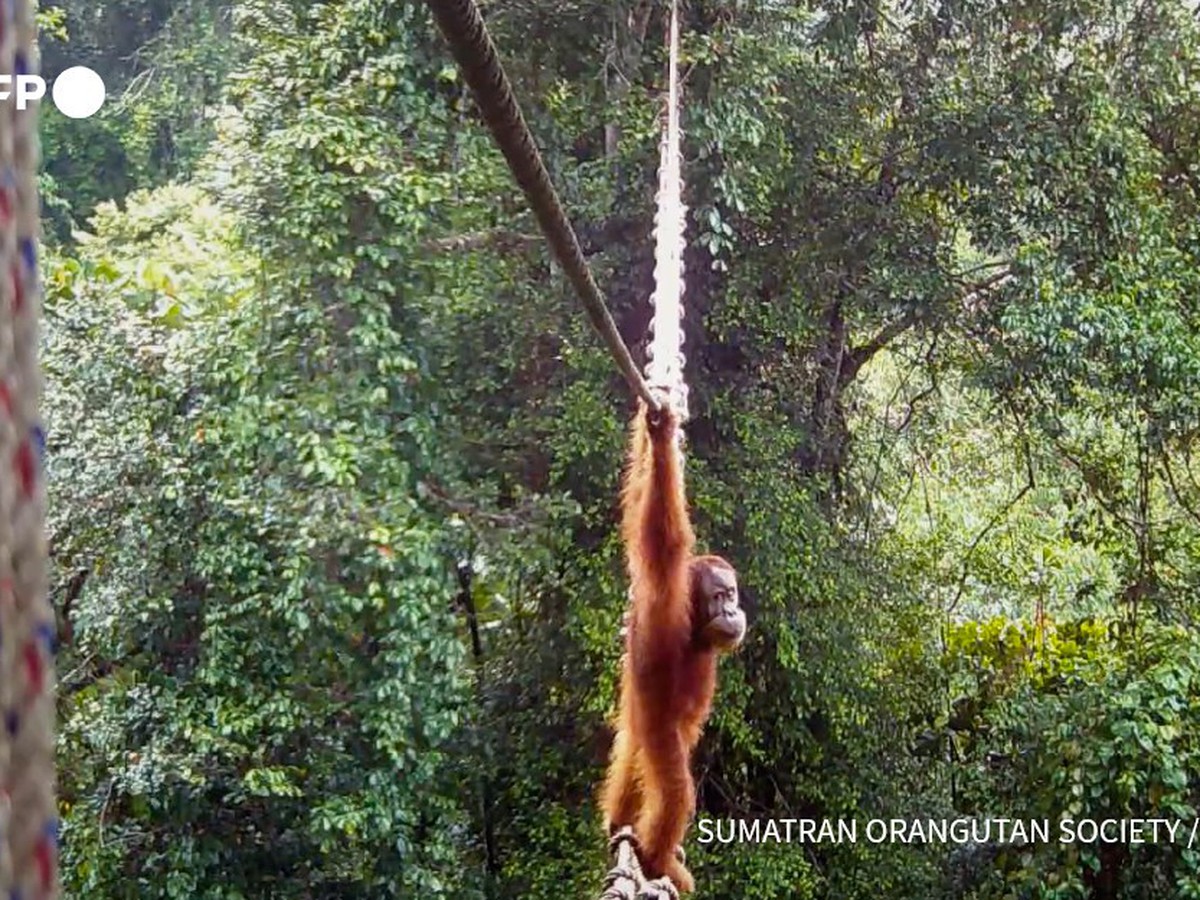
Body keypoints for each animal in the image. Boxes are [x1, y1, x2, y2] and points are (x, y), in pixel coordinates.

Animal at [600, 399, 746, 893]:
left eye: (732, 595)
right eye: (719, 597)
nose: (733, 611)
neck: (696, 629)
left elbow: (638, 506)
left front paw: (652, 436)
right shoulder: (668, 595)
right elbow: (662, 532)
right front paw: (662, 436)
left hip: (636, 724)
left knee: (630, 756)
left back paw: (620, 827)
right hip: (656, 729)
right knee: (675, 788)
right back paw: (657, 857)